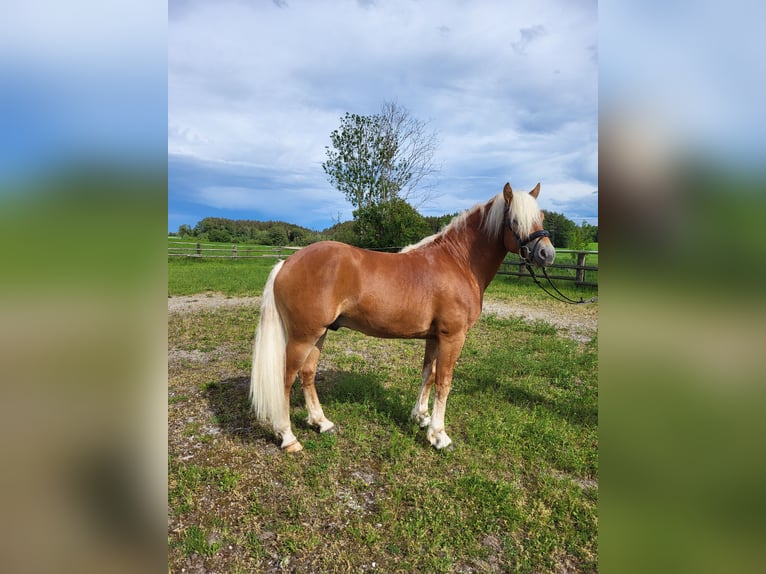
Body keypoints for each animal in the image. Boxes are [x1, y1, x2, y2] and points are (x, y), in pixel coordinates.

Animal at [252, 182, 560, 452]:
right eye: (515, 220)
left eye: (541, 217)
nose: (547, 254)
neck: (458, 262)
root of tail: (286, 263)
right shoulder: (453, 337)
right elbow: (444, 382)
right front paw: (439, 436)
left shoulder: (435, 337)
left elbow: (428, 374)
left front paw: (421, 418)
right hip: (303, 336)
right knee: (285, 379)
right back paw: (288, 437)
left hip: (320, 333)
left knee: (307, 373)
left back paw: (321, 423)